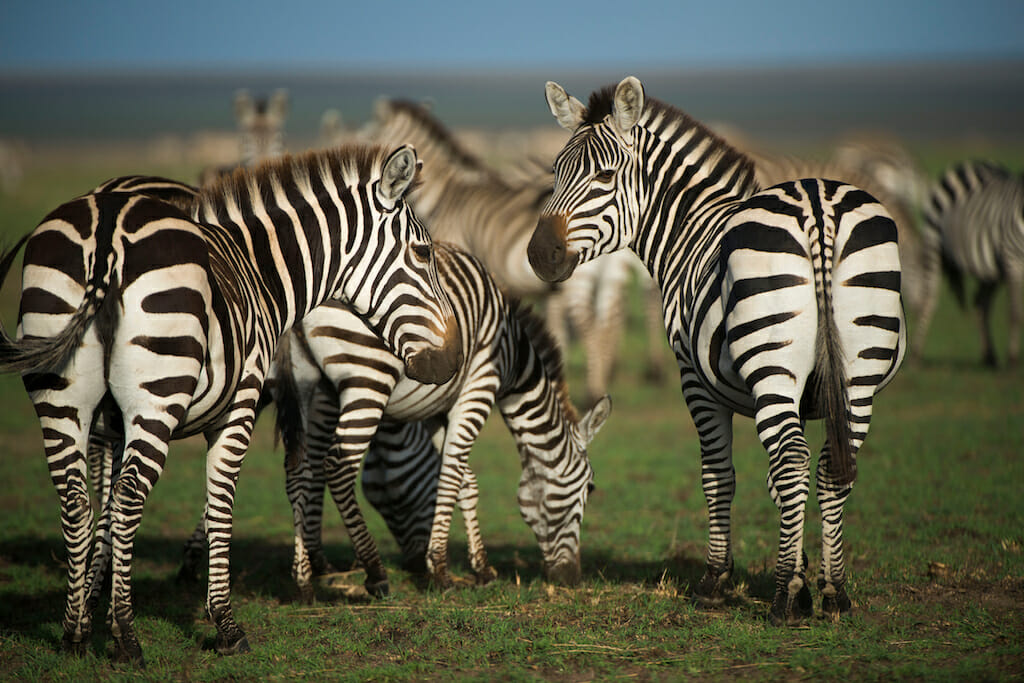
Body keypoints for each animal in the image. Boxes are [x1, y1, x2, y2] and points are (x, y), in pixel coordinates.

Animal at [0, 143, 460, 663]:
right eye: (423, 253)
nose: (450, 360)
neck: (260, 270)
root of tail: (108, 229)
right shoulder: (239, 403)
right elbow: (221, 501)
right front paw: (224, 624)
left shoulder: (117, 421)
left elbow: (113, 502)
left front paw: (104, 598)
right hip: (159, 392)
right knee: (131, 495)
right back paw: (128, 639)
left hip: (62, 394)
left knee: (78, 499)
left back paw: (75, 635)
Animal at [262, 240, 606, 598]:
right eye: (590, 487)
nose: (570, 578)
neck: (514, 359)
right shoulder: (478, 388)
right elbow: (452, 475)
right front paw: (440, 570)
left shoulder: (436, 410)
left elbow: (466, 480)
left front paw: (480, 568)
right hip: (368, 377)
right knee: (338, 469)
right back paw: (375, 573)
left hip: (313, 388)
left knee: (300, 469)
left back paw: (304, 579)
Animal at [364, 98, 667, 403]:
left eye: (369, 133)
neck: (448, 195)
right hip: (609, 274)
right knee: (611, 320)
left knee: (595, 324)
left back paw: (600, 389)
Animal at [528, 76, 905, 626]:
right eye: (556, 172)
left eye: (604, 175)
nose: (539, 256)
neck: (689, 231)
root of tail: (818, 203)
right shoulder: (804, 394)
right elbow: (777, 483)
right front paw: (802, 574)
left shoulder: (695, 377)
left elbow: (718, 474)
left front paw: (718, 580)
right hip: (859, 371)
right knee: (832, 464)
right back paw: (834, 592)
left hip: (771, 363)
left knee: (792, 459)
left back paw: (783, 599)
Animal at [913, 158, 1024, 368]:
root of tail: (972, 164)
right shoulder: (1013, 259)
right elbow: (1015, 313)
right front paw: (1013, 360)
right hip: (933, 243)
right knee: (928, 299)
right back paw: (917, 356)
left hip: (990, 269)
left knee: (981, 303)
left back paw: (989, 357)